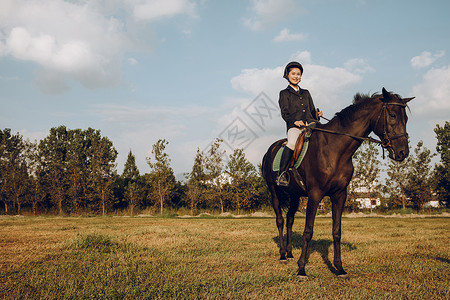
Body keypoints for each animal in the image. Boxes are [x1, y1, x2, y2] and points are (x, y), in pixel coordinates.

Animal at [262, 86, 414, 278]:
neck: (334, 148)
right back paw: (282, 255)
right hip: (274, 192)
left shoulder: (340, 195)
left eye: (406, 118)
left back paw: (289, 254)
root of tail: (270, 149)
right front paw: (302, 269)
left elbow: (337, 231)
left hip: (295, 195)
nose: (403, 153)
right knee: (281, 221)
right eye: (393, 115)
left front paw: (339, 268)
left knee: (289, 220)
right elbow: (308, 231)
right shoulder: (315, 195)